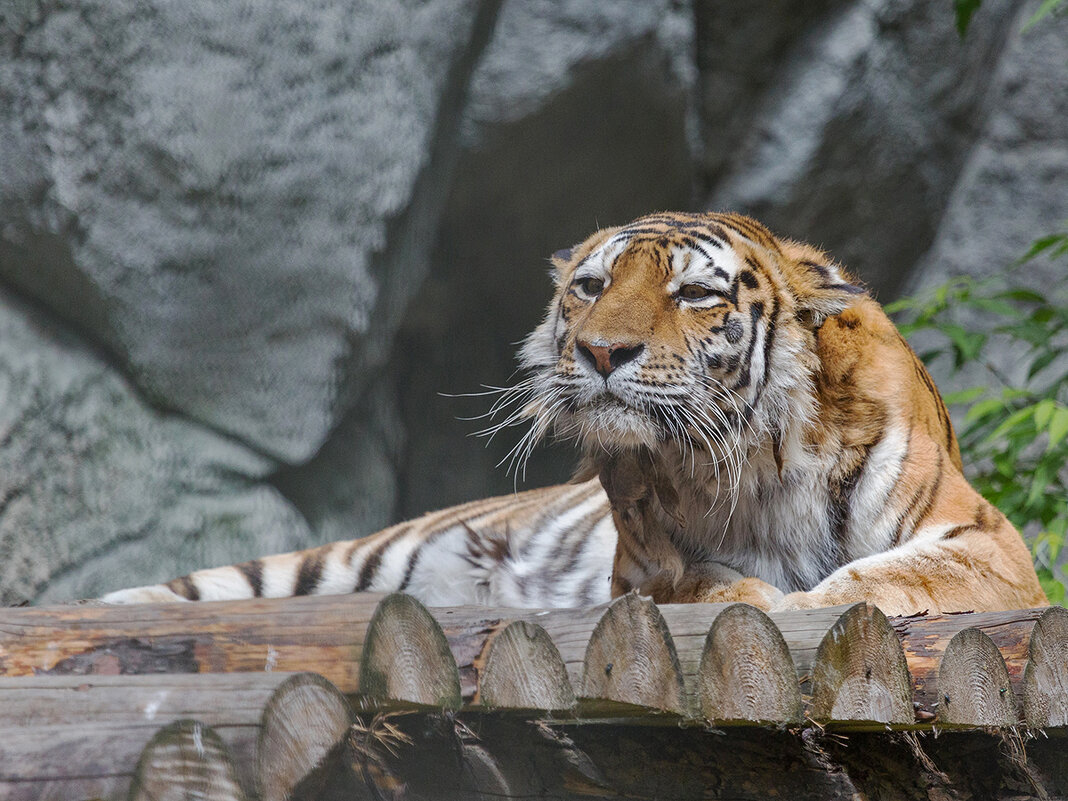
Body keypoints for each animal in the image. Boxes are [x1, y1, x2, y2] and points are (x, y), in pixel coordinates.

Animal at [101, 213, 1050, 615]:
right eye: (592, 286)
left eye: (694, 295)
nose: (600, 351)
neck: (758, 459)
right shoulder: (647, 562)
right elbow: (705, 580)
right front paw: (753, 592)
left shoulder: (985, 539)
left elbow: (877, 577)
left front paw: (797, 600)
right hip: (349, 558)